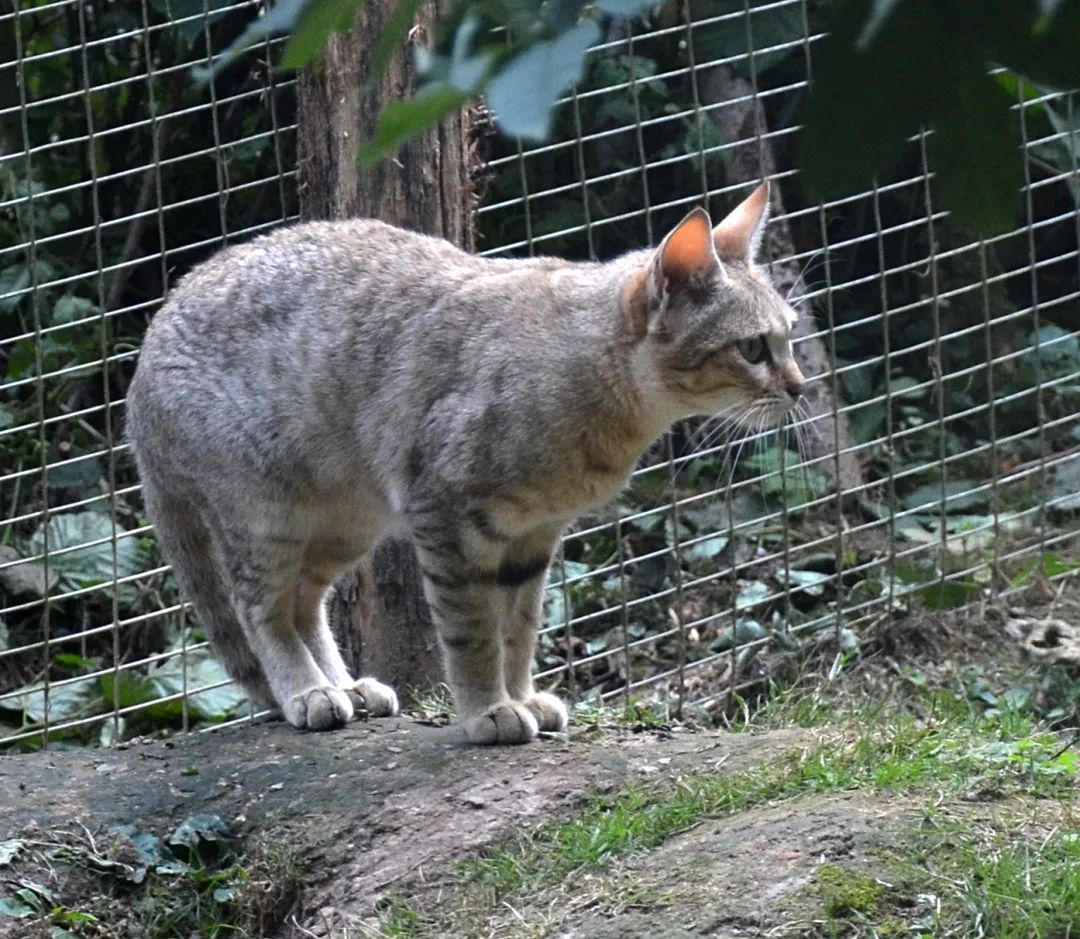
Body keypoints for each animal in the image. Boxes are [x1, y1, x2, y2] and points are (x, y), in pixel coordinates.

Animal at [124, 179, 803, 743]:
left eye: (790, 335)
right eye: (752, 349)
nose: (799, 386)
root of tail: (143, 358)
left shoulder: (534, 537)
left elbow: (519, 631)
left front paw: (521, 695)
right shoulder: (446, 515)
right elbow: (473, 631)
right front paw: (489, 710)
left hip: (345, 524)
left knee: (303, 603)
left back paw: (345, 685)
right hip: (267, 514)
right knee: (259, 608)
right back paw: (308, 691)